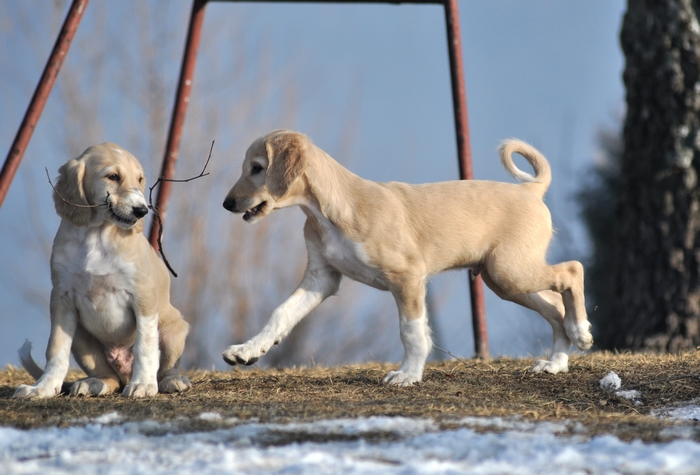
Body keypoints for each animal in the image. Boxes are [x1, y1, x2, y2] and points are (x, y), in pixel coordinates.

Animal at [13, 143, 193, 400]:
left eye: (140, 179)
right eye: (113, 177)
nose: (141, 211)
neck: (97, 236)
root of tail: (123, 370)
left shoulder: (143, 296)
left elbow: (146, 346)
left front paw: (143, 384)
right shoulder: (62, 298)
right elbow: (56, 349)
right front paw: (43, 388)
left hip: (174, 330)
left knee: (166, 368)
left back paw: (171, 381)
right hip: (81, 337)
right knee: (111, 379)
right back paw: (92, 384)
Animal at [221, 130, 592, 386]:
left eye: (257, 168)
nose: (227, 204)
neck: (328, 212)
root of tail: (530, 190)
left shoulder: (407, 277)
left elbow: (411, 331)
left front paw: (408, 375)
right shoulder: (320, 278)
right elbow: (281, 313)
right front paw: (247, 351)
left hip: (510, 271)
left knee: (572, 271)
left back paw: (581, 332)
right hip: (503, 279)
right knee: (555, 309)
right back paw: (556, 363)